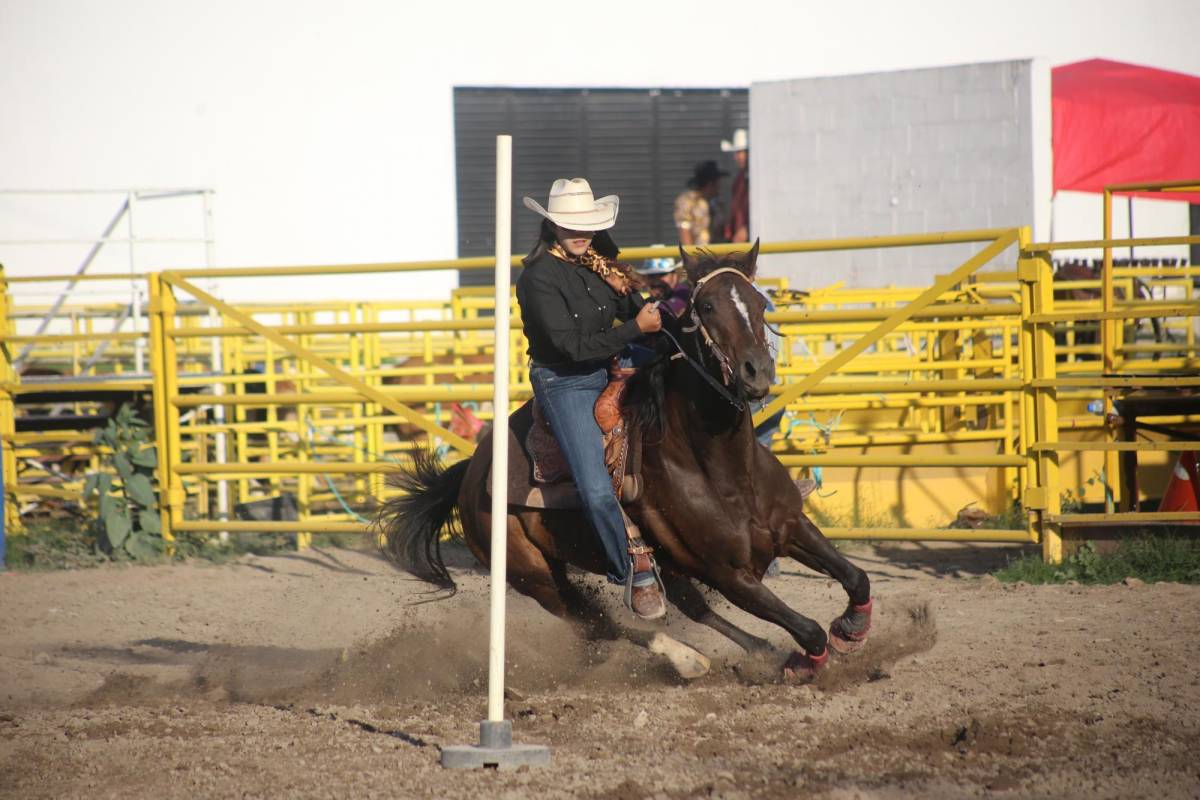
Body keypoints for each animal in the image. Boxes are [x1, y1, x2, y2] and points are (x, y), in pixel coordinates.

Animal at [379, 244, 878, 681]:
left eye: (759, 302)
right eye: (708, 306)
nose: (757, 372)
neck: (727, 473)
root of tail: (472, 471)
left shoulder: (791, 527)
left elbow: (856, 577)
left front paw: (852, 629)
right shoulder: (729, 574)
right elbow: (808, 629)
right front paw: (807, 662)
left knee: (686, 609)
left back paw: (758, 650)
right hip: (535, 577)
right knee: (600, 626)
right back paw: (686, 658)